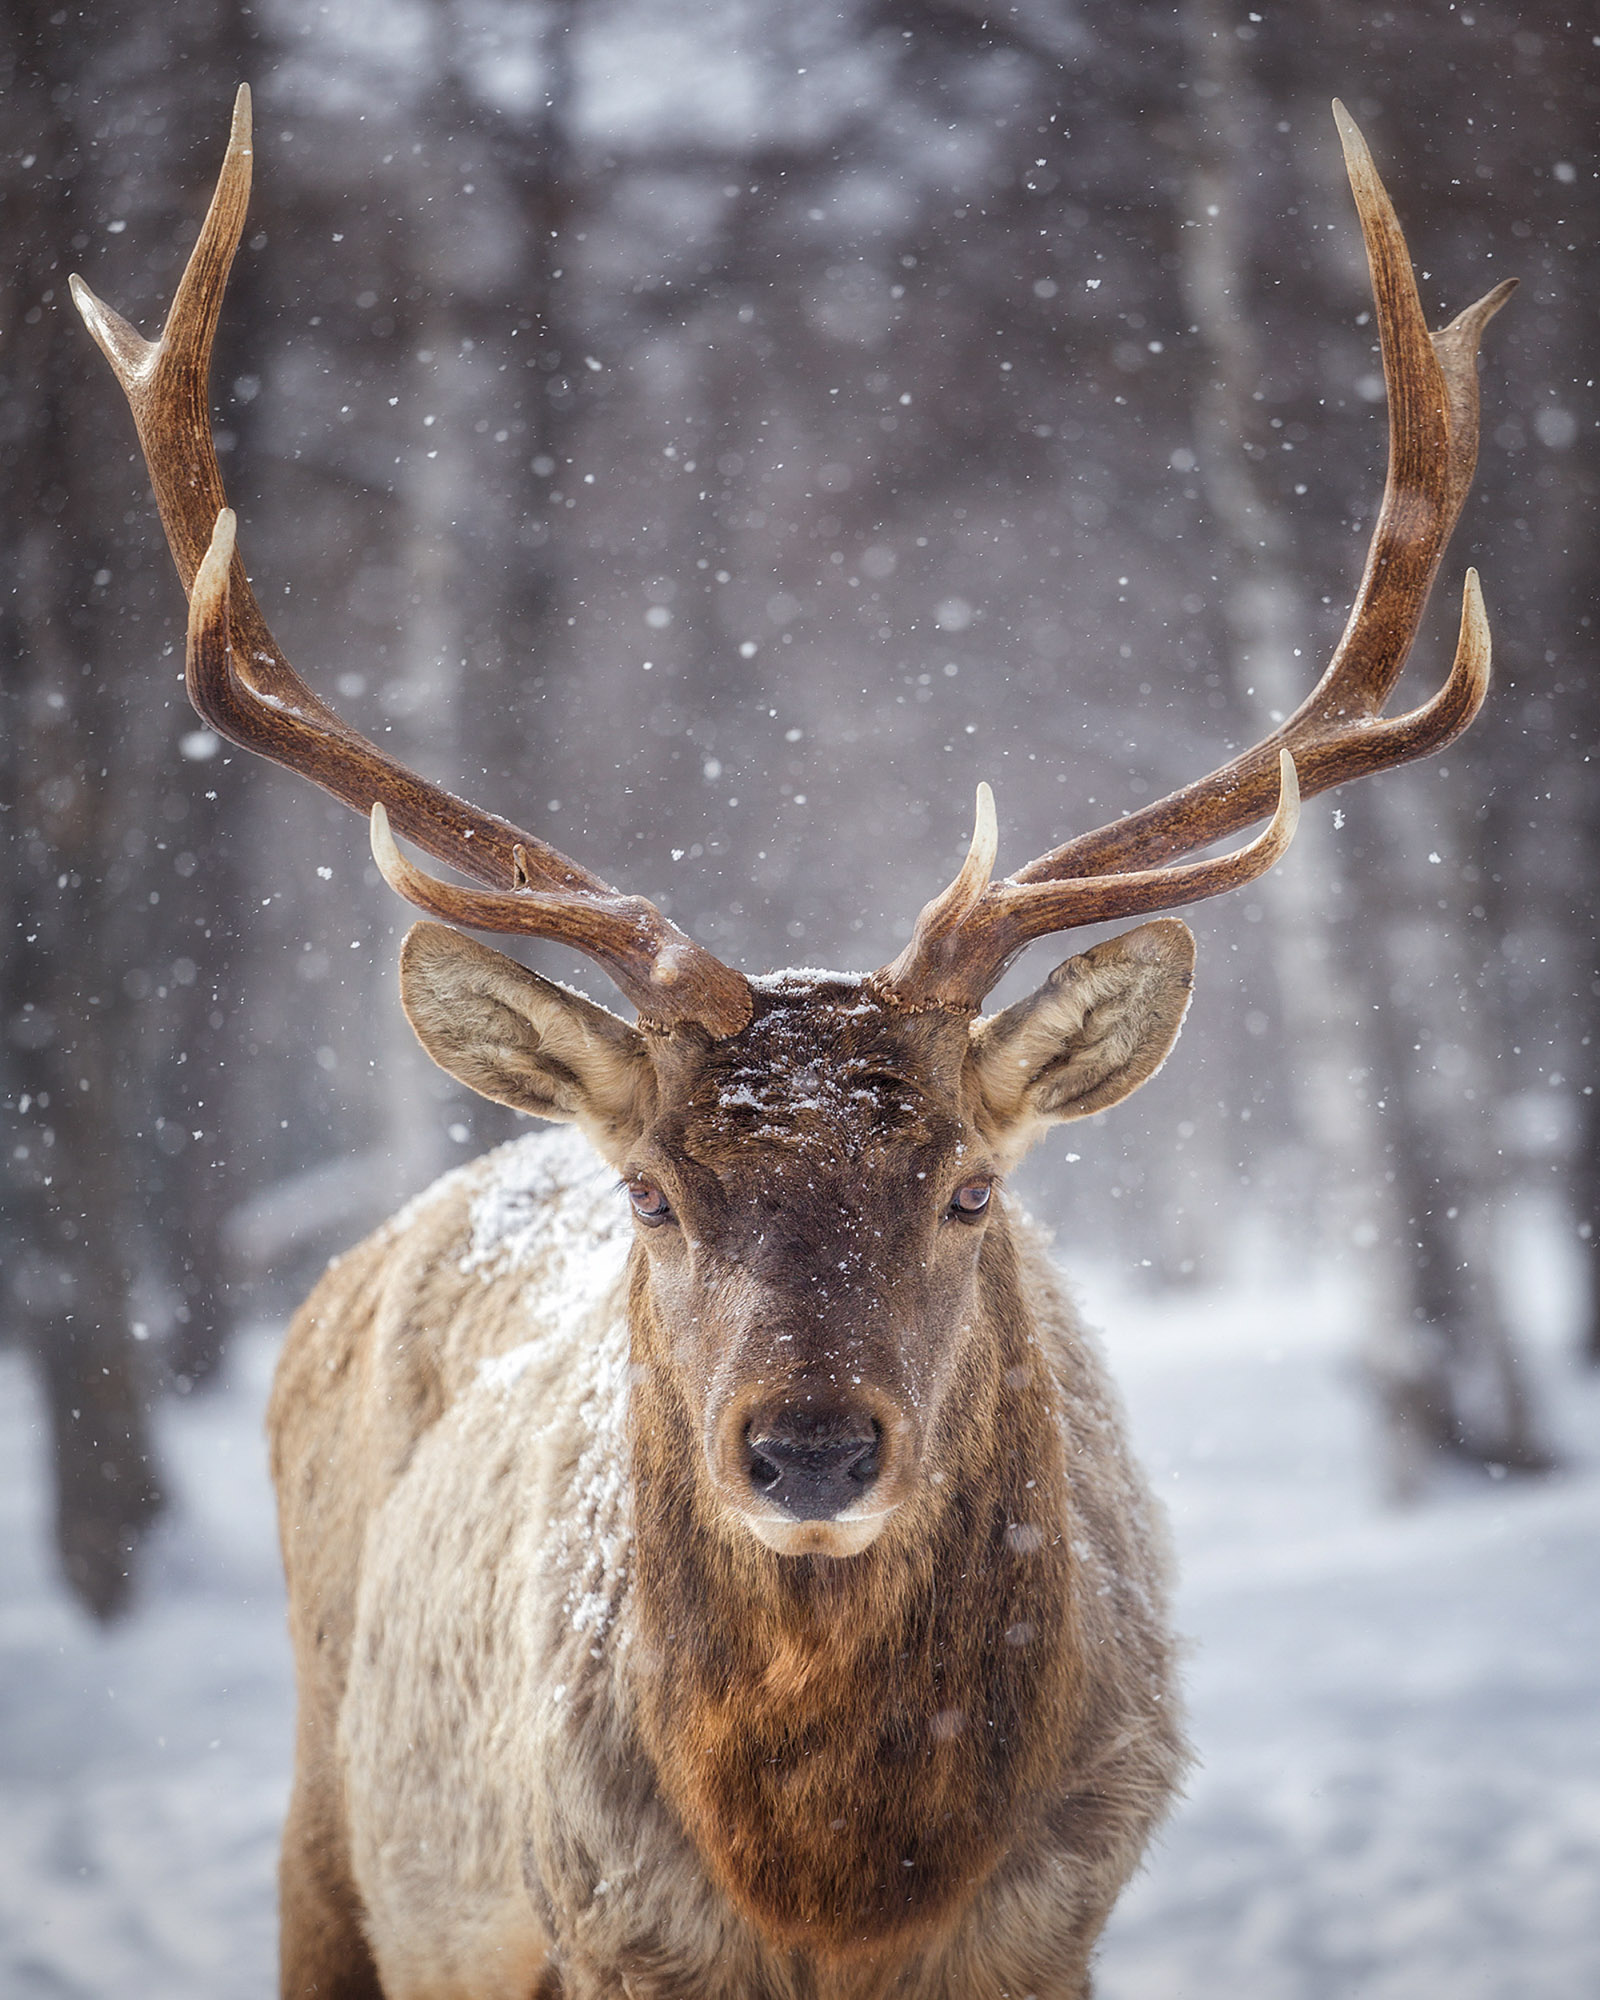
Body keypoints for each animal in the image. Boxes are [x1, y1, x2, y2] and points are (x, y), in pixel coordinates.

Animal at [78, 90, 1512, 2000]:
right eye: (657, 1198)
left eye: (970, 1191)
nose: (811, 1452)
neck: (839, 1899)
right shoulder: (593, 1927)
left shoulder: (1058, 1928)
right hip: (329, 1840)